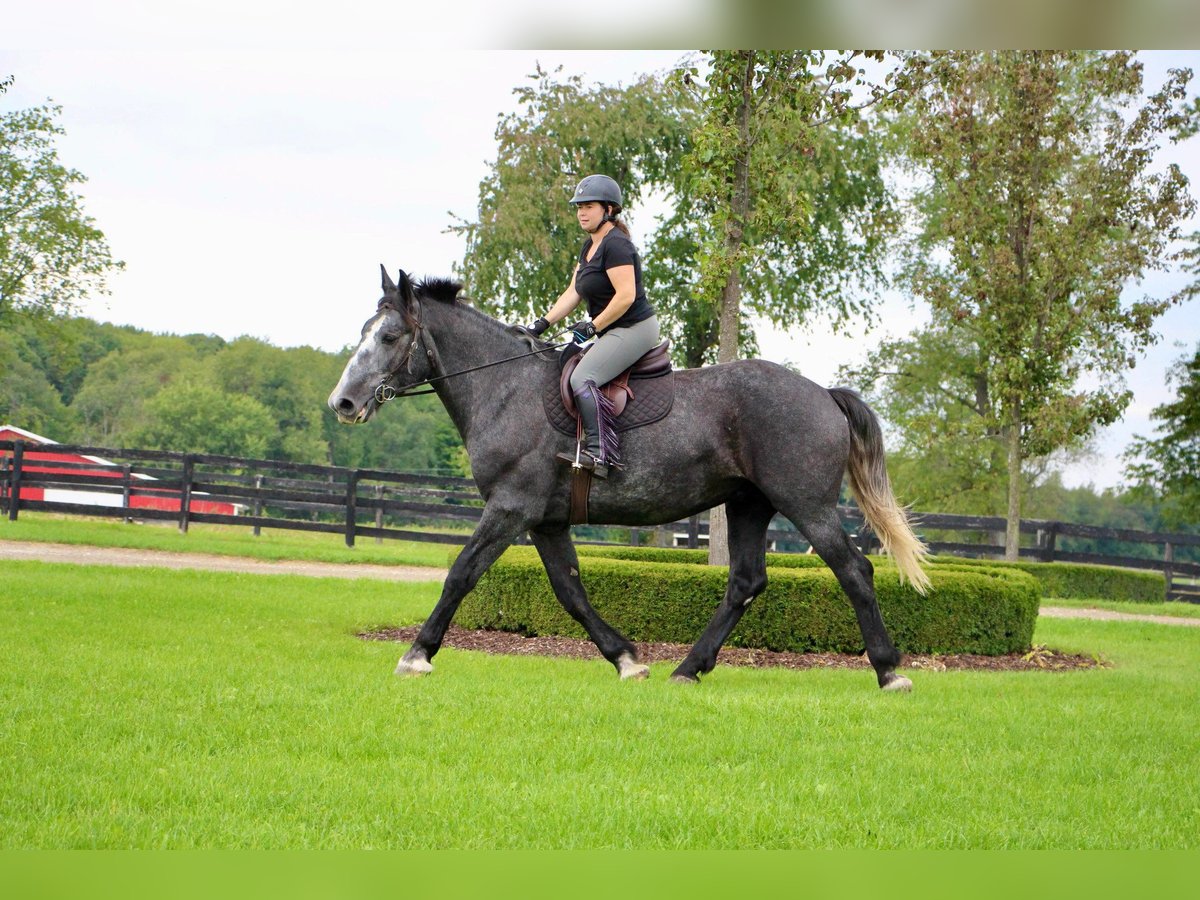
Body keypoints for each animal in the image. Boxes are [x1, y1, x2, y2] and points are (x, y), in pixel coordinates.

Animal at [328, 267, 926, 691]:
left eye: (389, 337)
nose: (343, 403)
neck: (504, 388)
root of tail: (822, 393)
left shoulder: (510, 508)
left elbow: (461, 573)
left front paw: (416, 654)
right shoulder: (545, 521)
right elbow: (570, 590)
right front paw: (626, 659)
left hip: (806, 504)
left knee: (854, 569)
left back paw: (889, 671)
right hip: (748, 505)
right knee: (746, 582)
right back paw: (687, 668)